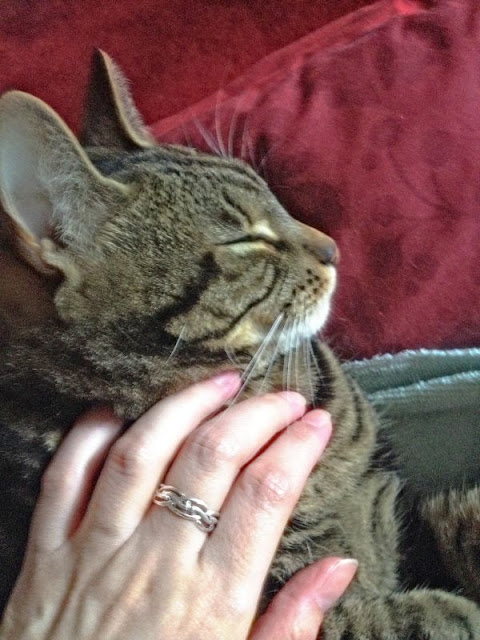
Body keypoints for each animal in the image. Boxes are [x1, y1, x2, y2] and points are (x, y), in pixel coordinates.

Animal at [0, 52, 480, 636]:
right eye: (246, 238)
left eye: (275, 199)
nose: (334, 248)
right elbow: (409, 615)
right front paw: (456, 608)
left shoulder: (391, 503)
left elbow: (458, 520)